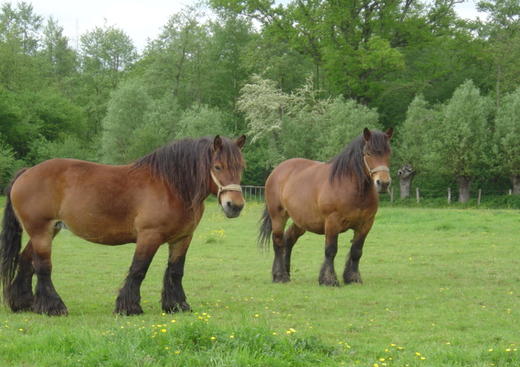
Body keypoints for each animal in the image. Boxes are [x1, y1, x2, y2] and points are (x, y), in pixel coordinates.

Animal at [0, 135, 246, 316]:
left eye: (241, 167)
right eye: (218, 166)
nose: (235, 206)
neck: (171, 186)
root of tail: (26, 173)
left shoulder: (182, 238)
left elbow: (176, 271)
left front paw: (177, 305)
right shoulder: (149, 236)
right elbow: (138, 269)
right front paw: (129, 307)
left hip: (48, 231)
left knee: (25, 261)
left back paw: (23, 304)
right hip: (41, 231)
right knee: (43, 267)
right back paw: (53, 307)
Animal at [258, 129, 392, 288]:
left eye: (388, 153)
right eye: (368, 153)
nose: (383, 183)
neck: (349, 186)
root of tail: (277, 171)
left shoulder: (366, 224)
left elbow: (356, 251)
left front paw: (352, 277)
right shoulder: (332, 222)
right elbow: (331, 250)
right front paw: (329, 279)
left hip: (301, 221)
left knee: (288, 239)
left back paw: (286, 272)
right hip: (278, 216)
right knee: (278, 241)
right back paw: (280, 276)